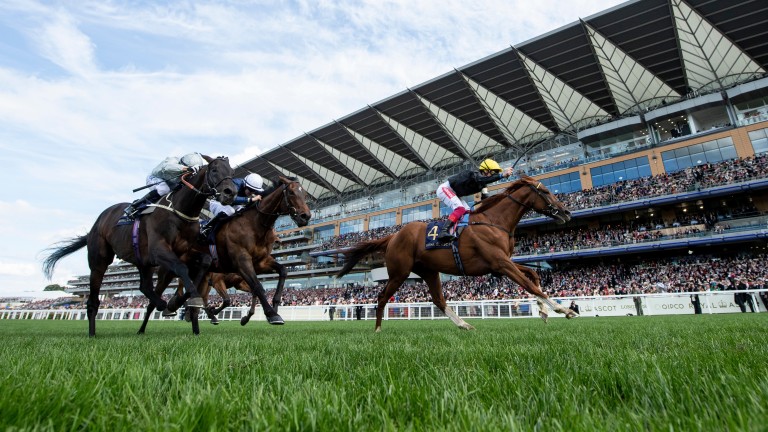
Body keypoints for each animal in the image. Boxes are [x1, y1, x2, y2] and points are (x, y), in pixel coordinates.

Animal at [43, 156, 236, 338]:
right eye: (214, 169)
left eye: (232, 172)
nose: (230, 192)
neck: (181, 211)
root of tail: (97, 223)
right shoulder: (159, 250)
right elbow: (182, 269)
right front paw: (187, 300)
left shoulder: (184, 252)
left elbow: (204, 261)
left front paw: (180, 301)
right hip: (99, 261)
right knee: (93, 300)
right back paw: (92, 333)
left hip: (143, 261)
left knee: (144, 286)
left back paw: (160, 306)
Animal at [140, 174, 314, 332]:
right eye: (291, 193)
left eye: (304, 194)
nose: (306, 216)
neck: (254, 224)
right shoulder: (239, 263)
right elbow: (257, 287)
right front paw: (272, 315)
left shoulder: (260, 262)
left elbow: (282, 271)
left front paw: (273, 306)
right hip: (169, 271)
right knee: (159, 297)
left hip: (201, 276)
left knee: (193, 295)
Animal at [336, 174, 576, 332]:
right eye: (545, 191)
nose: (567, 212)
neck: (493, 221)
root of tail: (393, 236)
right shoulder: (500, 263)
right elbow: (530, 285)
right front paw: (564, 310)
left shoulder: (502, 263)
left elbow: (533, 276)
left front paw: (543, 311)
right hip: (399, 272)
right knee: (382, 296)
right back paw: (377, 329)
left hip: (429, 271)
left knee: (438, 300)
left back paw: (464, 324)